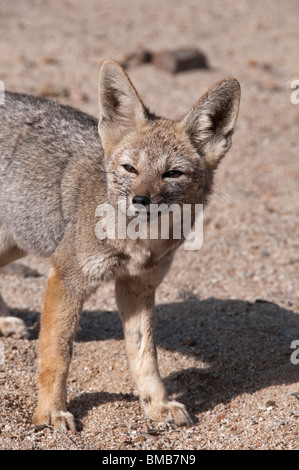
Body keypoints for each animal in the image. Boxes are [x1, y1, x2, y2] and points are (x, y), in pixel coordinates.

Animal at [0, 60, 240, 432]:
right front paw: (51, 412)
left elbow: (145, 357)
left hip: (16, 240)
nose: (140, 200)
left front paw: (157, 405)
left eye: (172, 174)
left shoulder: (137, 286)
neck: (140, 239)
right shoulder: (67, 279)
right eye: (130, 168)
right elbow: (58, 354)